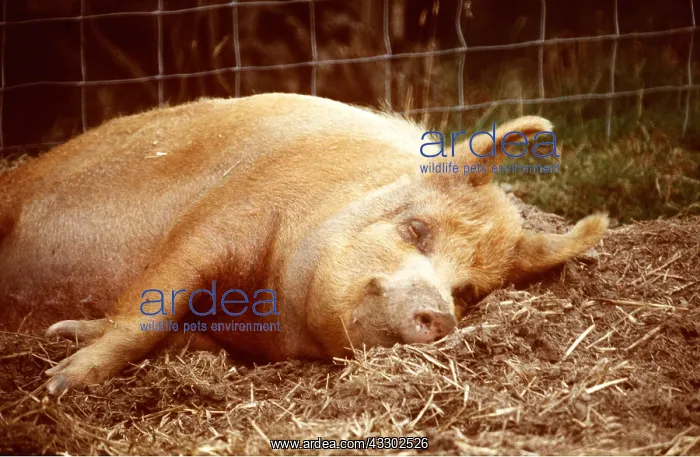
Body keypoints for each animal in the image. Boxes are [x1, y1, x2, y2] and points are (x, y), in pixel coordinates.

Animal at [0, 93, 608, 394]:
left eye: (467, 291)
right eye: (416, 229)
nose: (440, 315)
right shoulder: (225, 213)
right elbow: (150, 308)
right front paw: (57, 384)